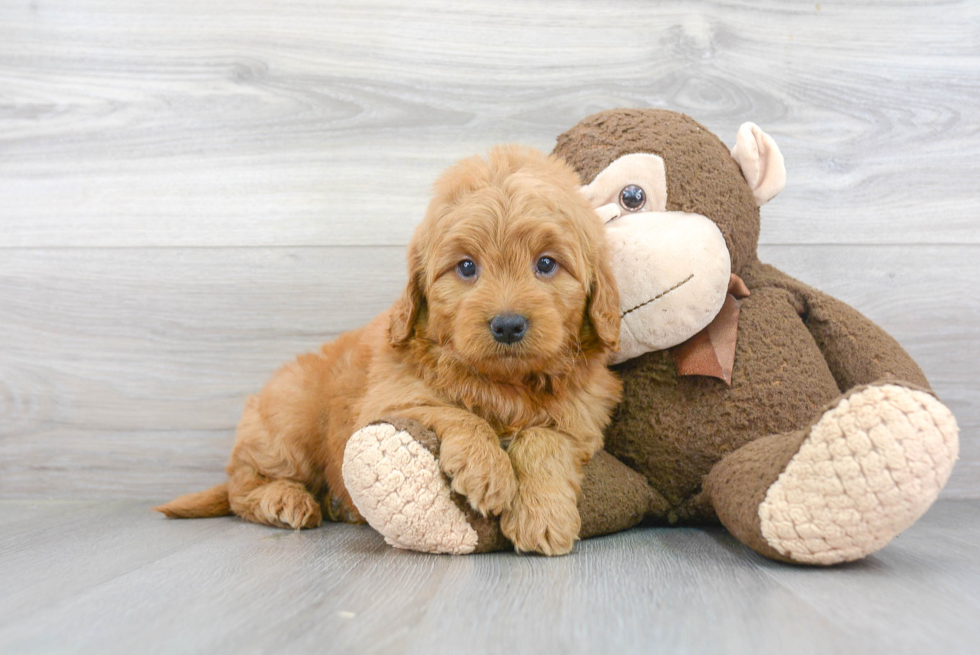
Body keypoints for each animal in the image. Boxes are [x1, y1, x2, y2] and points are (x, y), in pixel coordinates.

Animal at [158, 146, 624, 556]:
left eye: (546, 264)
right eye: (466, 267)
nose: (508, 325)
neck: (504, 384)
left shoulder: (582, 418)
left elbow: (544, 439)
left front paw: (542, 516)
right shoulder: (390, 398)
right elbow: (452, 410)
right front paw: (486, 468)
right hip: (290, 423)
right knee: (243, 485)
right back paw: (285, 501)